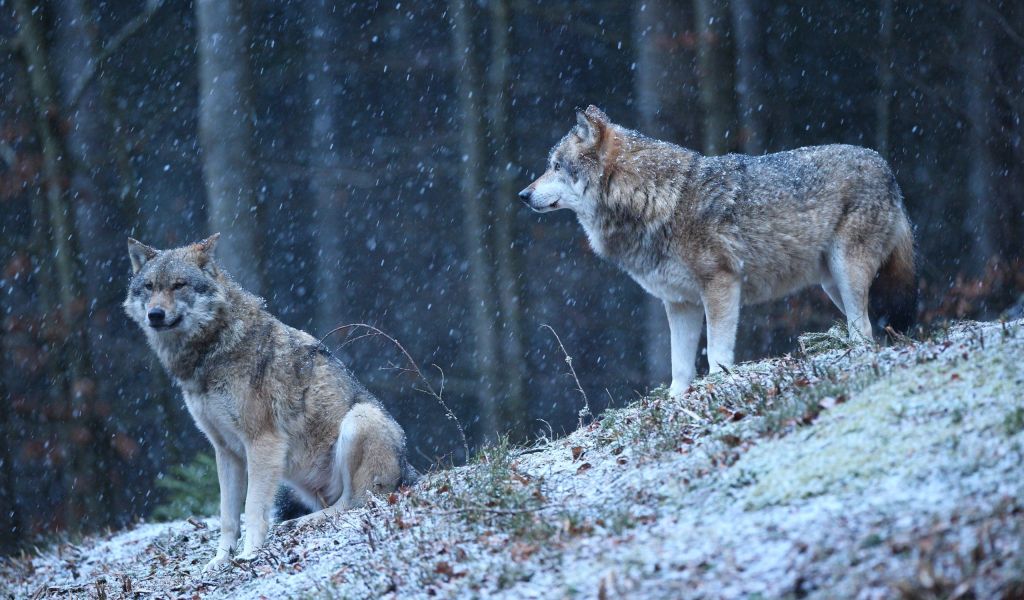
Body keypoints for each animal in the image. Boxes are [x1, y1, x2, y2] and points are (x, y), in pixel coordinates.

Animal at [125, 232, 413, 565]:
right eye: (149, 287)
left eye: (178, 285)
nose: (155, 314)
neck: (211, 350)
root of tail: (408, 470)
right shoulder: (225, 451)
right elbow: (227, 515)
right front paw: (219, 561)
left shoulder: (262, 442)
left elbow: (252, 508)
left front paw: (250, 554)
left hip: (360, 419)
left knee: (355, 502)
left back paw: (301, 522)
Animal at [520, 106, 921, 397]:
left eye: (555, 166)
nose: (523, 195)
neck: (655, 199)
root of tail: (886, 167)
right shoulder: (679, 303)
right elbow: (680, 366)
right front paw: (676, 403)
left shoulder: (721, 285)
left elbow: (716, 351)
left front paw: (718, 383)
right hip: (832, 284)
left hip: (846, 273)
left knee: (864, 330)